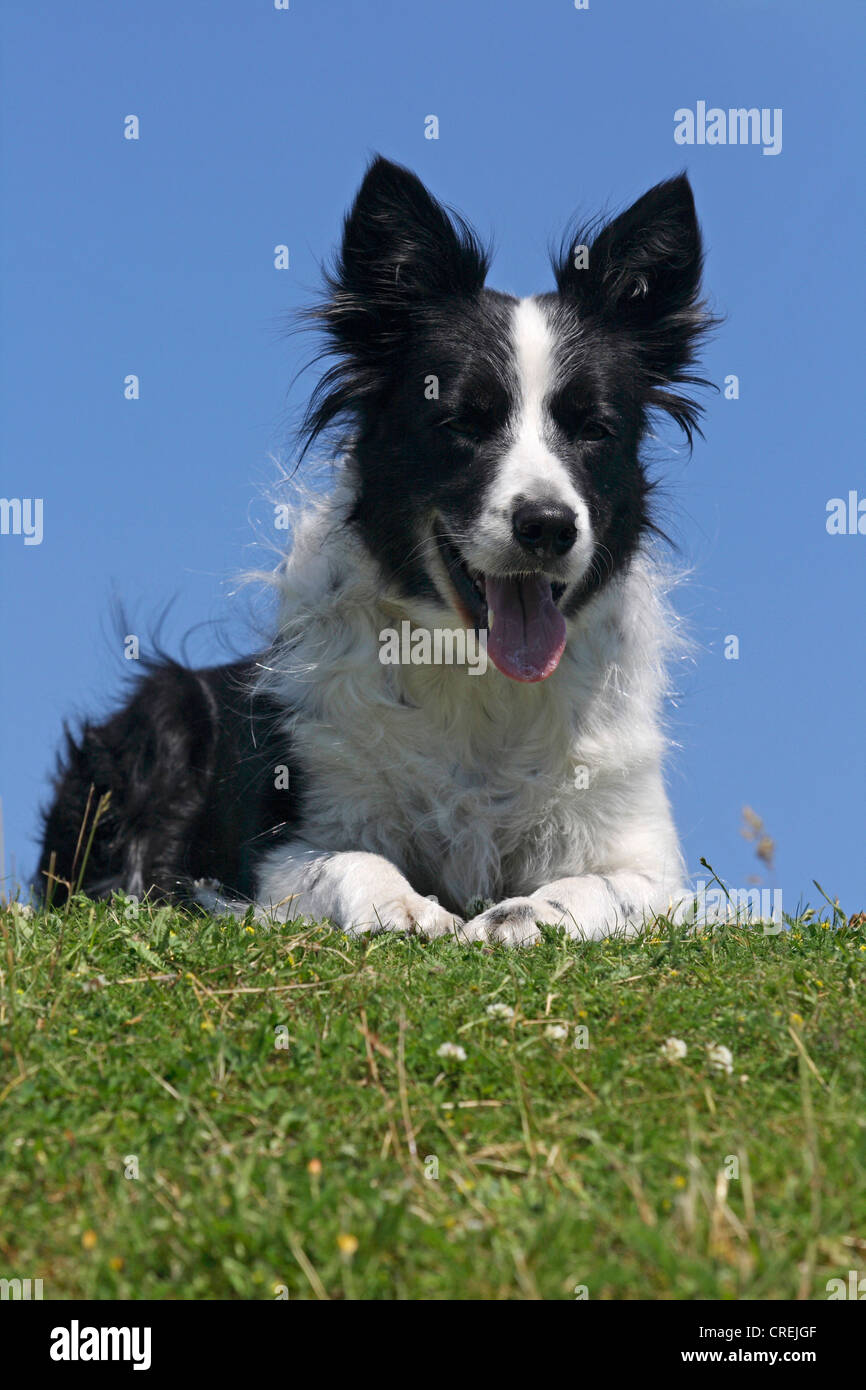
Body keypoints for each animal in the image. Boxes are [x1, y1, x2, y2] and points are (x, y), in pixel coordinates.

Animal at [37, 154, 717, 945]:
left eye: (594, 429)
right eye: (462, 422)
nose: (547, 525)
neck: (476, 678)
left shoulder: (648, 861)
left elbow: (598, 889)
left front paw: (521, 916)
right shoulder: (278, 842)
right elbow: (349, 860)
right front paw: (406, 906)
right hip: (163, 708)